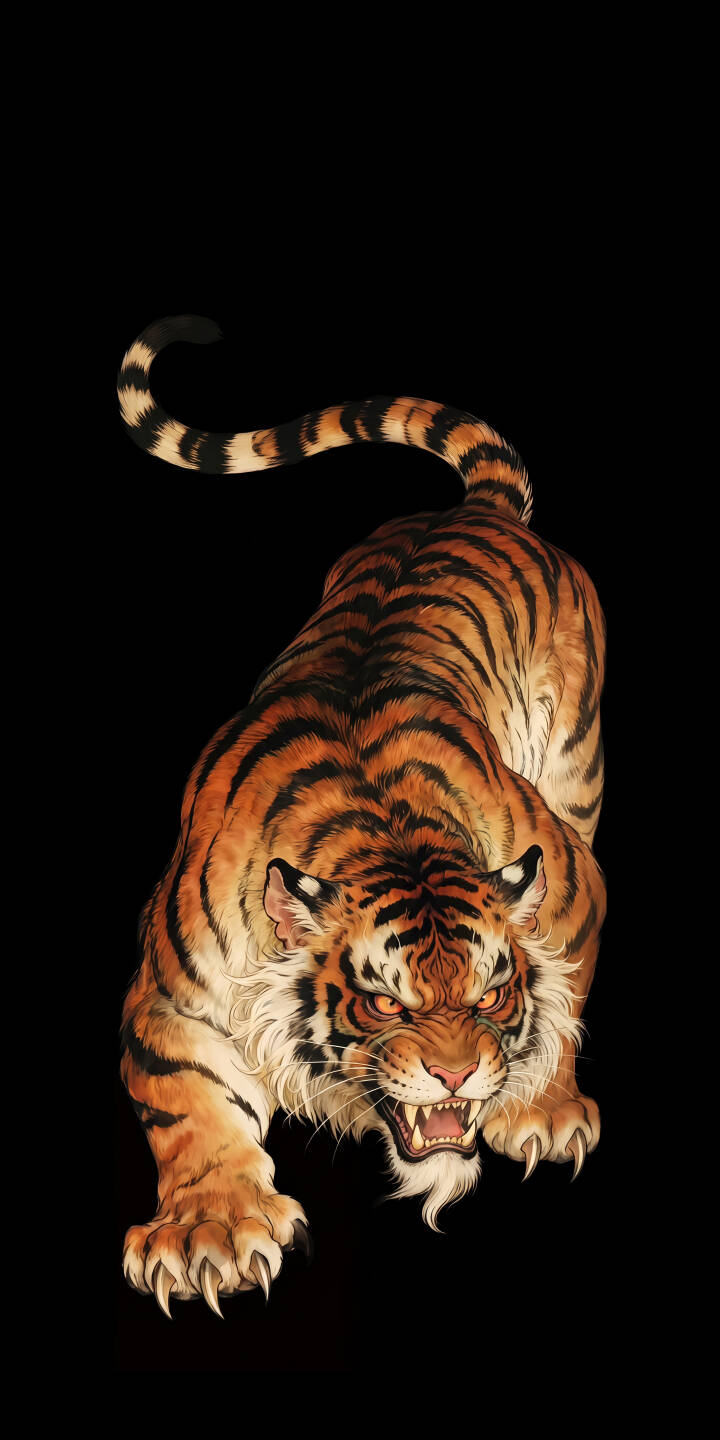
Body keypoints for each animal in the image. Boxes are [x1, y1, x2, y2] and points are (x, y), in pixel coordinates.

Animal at [118, 313, 606, 1319]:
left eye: (491, 995)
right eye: (383, 1003)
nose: (457, 1073)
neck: (390, 835)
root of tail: (476, 510)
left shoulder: (573, 882)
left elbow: (565, 993)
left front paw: (540, 1110)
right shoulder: (169, 997)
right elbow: (186, 1103)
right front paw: (208, 1234)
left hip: (578, 766)